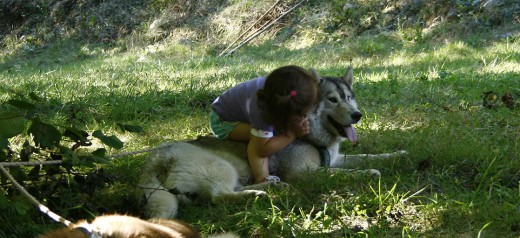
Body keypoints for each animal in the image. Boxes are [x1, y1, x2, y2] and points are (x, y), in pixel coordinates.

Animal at [138, 66, 406, 218]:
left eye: (349, 97)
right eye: (332, 99)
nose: (357, 115)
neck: (314, 134)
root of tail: (155, 160)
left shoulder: (336, 159)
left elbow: (367, 157)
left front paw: (396, 156)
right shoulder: (303, 173)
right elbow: (345, 173)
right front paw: (369, 173)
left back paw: (271, 186)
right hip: (220, 167)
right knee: (219, 196)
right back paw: (260, 192)